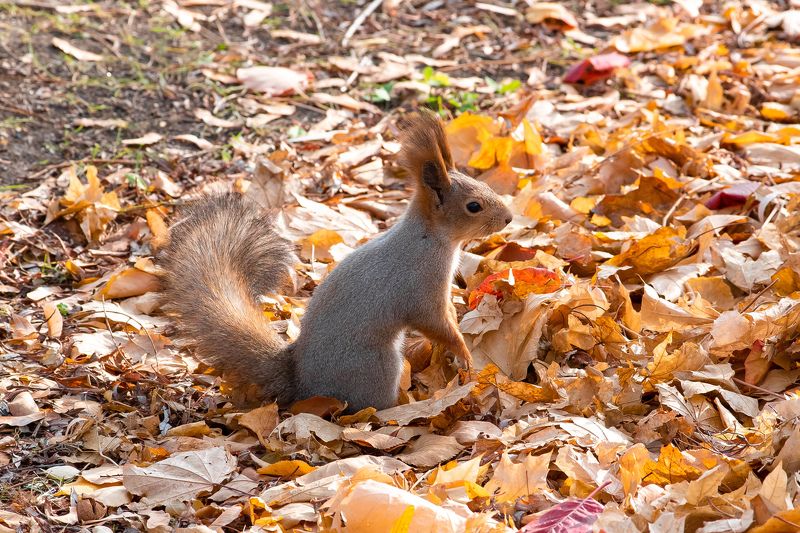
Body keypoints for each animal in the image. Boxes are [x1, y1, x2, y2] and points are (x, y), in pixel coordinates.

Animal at [160, 111, 513, 411]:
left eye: (484, 184)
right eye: (473, 206)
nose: (508, 218)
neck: (430, 239)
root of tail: (304, 383)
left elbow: (448, 314)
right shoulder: (418, 286)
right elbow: (435, 323)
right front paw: (463, 352)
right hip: (376, 366)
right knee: (374, 405)